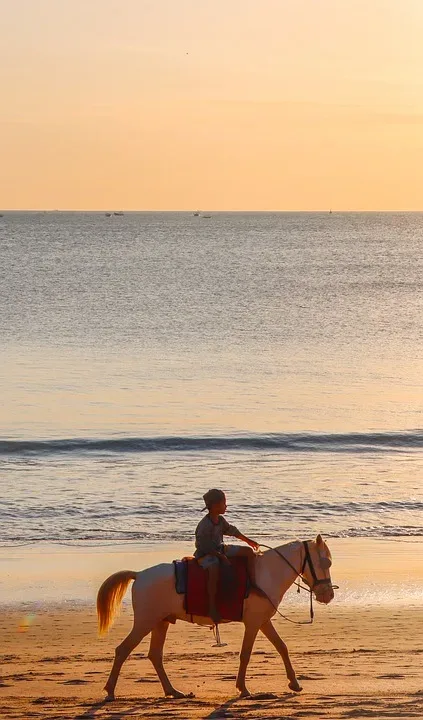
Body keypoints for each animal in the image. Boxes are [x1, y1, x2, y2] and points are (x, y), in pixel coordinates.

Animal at [97, 536, 336, 696]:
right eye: (326, 563)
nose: (329, 595)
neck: (266, 573)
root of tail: (139, 575)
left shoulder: (263, 621)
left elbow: (282, 647)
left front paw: (294, 683)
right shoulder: (253, 623)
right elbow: (246, 654)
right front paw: (243, 688)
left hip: (160, 623)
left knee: (155, 655)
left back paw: (172, 690)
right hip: (145, 622)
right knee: (123, 650)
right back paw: (109, 691)